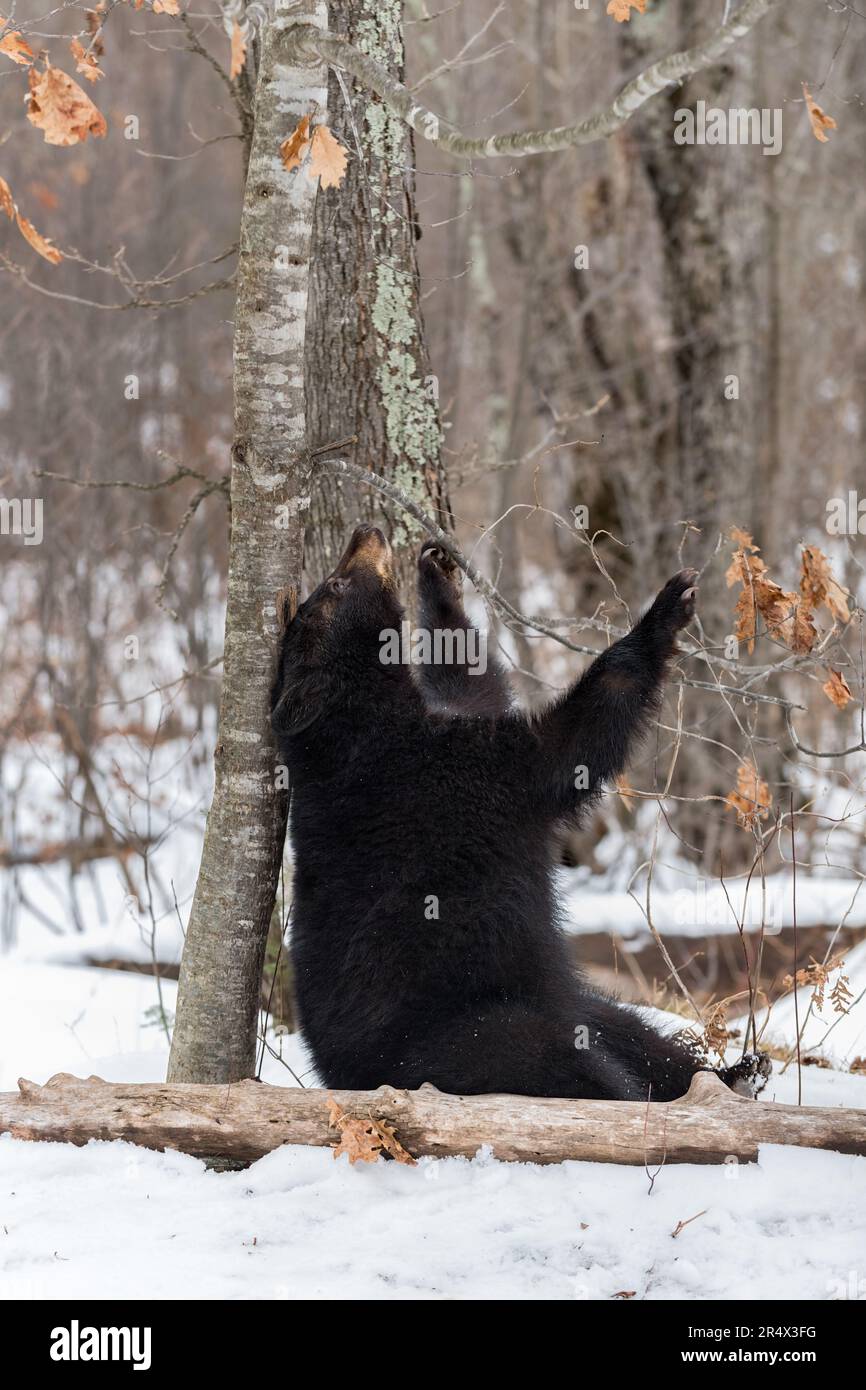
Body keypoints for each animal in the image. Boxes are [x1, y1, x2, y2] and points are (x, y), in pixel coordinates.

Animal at [271, 523, 770, 1102]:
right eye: (333, 586)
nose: (365, 532)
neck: (360, 725)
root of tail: (343, 1081)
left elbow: (474, 682)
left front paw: (439, 577)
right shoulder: (456, 772)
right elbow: (570, 741)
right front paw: (669, 605)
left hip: (578, 1008)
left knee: (634, 1032)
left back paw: (737, 1073)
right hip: (471, 1033)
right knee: (559, 1058)